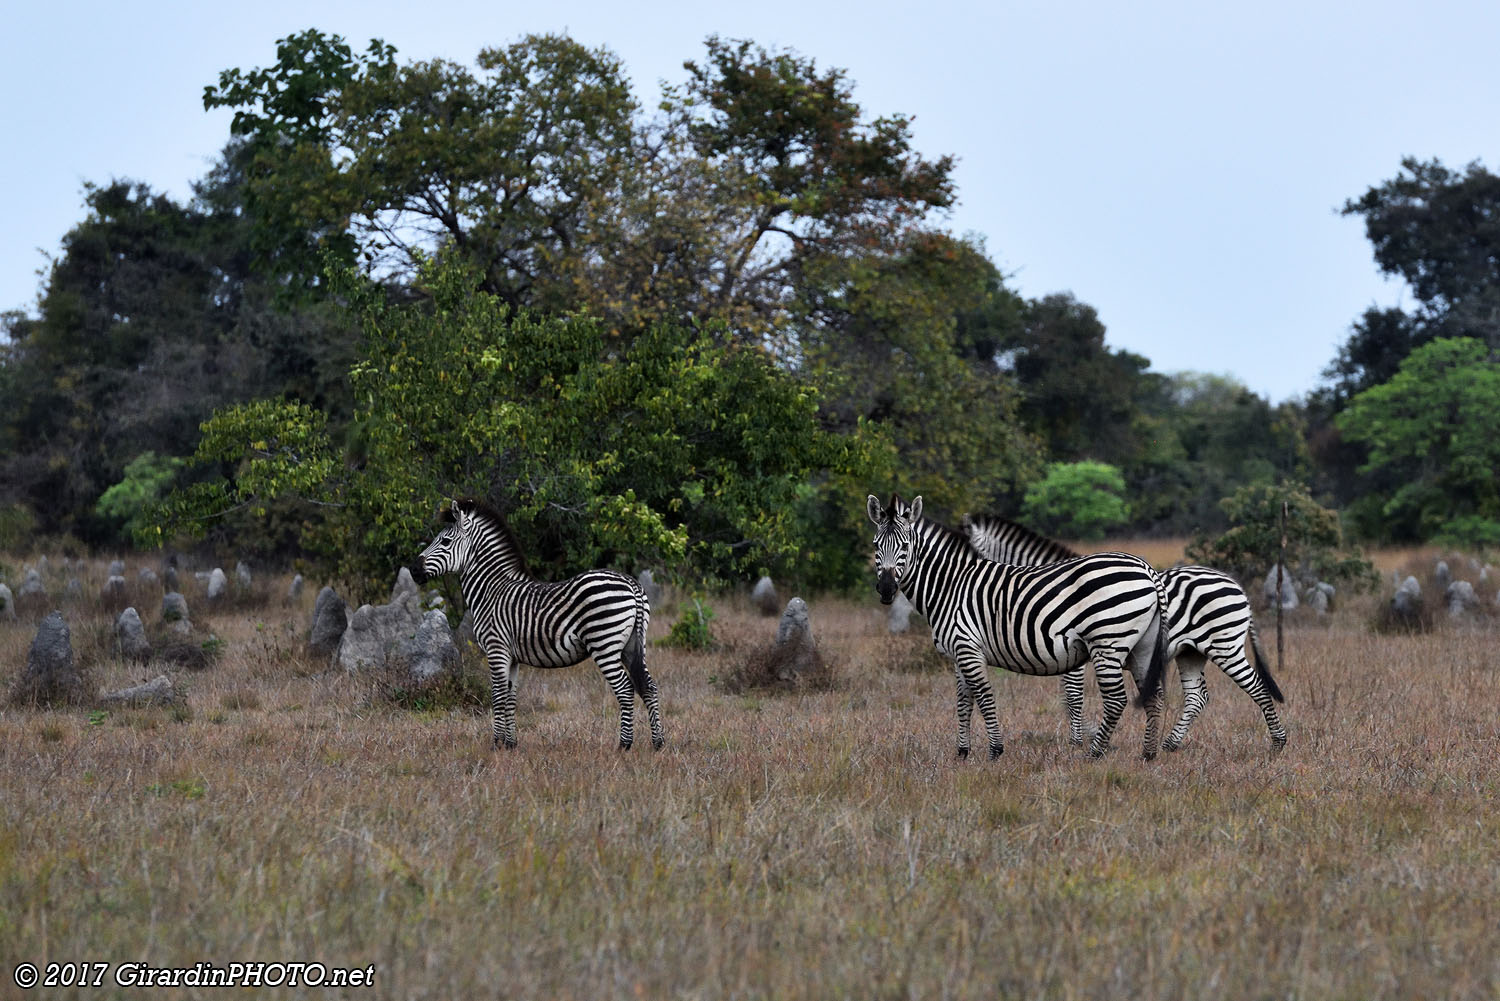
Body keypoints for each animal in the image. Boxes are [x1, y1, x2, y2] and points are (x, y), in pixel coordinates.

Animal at [414, 501, 666, 750]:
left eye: (445, 542)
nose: (415, 571)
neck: (491, 590)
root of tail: (632, 583)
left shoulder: (496, 649)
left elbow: (497, 696)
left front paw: (496, 745)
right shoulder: (512, 657)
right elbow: (510, 697)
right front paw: (510, 744)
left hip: (604, 643)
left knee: (625, 689)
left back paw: (624, 745)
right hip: (632, 645)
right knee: (649, 687)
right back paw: (658, 743)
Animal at [870, 492, 1170, 759]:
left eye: (905, 546)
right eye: (875, 546)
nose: (886, 589)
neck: (952, 585)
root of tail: (1146, 568)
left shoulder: (969, 648)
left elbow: (986, 697)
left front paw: (995, 751)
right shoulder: (959, 653)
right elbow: (964, 702)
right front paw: (962, 753)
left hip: (1107, 643)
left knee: (1117, 700)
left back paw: (1095, 753)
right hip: (1141, 648)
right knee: (1153, 695)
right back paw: (1148, 753)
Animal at [960, 516, 1290, 750]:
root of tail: (1236, 586)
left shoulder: (1072, 649)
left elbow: (1073, 695)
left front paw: (1078, 741)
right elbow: (1069, 696)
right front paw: (1083, 736)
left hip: (1225, 646)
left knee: (1256, 687)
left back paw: (1277, 742)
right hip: (1191, 651)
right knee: (1198, 696)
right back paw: (1170, 744)